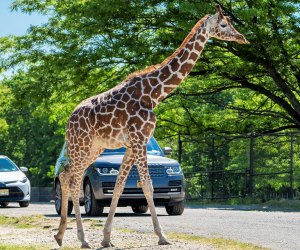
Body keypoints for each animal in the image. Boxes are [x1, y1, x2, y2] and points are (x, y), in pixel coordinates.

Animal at [54, 3, 248, 248]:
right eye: (223, 24)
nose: (242, 37)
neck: (154, 94)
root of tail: (69, 121)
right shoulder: (139, 139)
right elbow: (147, 185)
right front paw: (162, 236)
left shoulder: (132, 144)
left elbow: (119, 186)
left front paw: (107, 238)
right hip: (81, 146)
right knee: (73, 179)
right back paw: (81, 239)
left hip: (93, 148)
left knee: (67, 176)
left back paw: (60, 235)